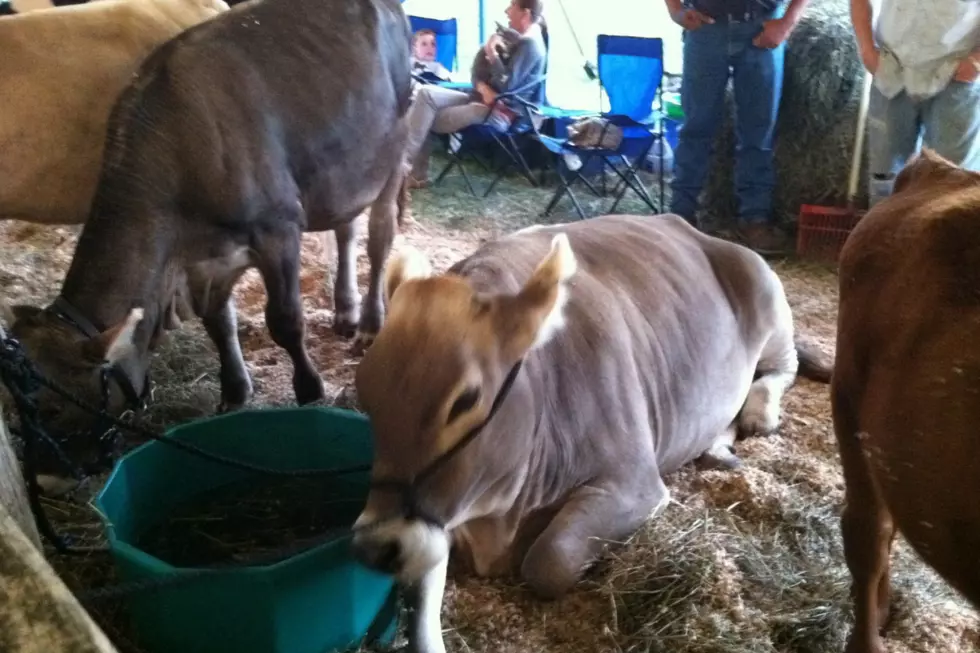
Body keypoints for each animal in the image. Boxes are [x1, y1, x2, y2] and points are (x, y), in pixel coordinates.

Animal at [348, 213, 832, 652]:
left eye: (465, 400)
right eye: (365, 393)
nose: (375, 547)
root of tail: (697, 231)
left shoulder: (634, 480)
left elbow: (550, 559)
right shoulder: (438, 517)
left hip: (771, 307)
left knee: (780, 370)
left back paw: (759, 412)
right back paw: (718, 445)